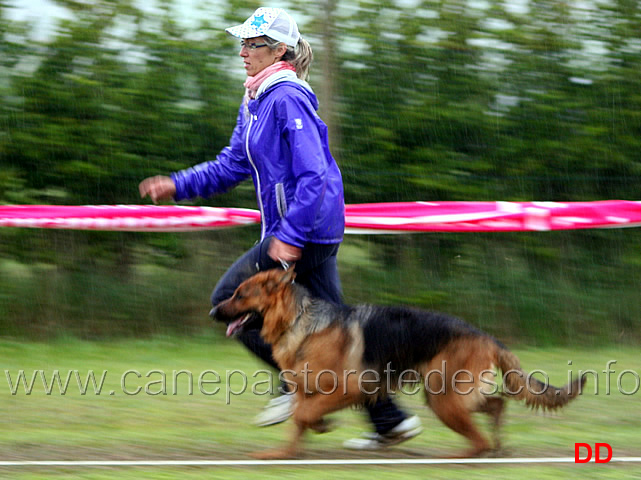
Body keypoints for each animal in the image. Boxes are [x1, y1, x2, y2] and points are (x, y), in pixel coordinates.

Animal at [212, 268, 584, 460]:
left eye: (240, 294)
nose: (213, 311)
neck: (298, 319)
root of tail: (487, 337)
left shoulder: (350, 388)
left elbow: (303, 414)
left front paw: (318, 427)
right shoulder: (307, 390)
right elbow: (299, 420)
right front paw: (285, 453)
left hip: (443, 397)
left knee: (479, 435)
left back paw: (461, 457)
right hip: (451, 396)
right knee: (495, 405)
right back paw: (496, 444)